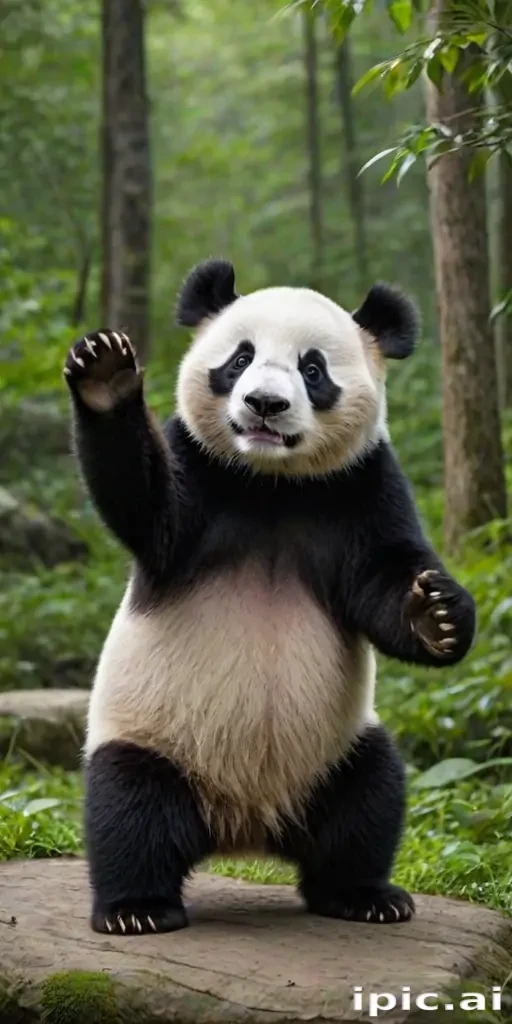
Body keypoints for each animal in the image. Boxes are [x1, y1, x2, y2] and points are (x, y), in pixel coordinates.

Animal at [64, 258, 475, 937]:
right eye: (240, 358)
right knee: (129, 808)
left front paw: (436, 612)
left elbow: (384, 578)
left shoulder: (361, 485)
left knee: (371, 797)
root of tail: (245, 826)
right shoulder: (198, 477)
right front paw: (104, 372)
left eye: (313, 370)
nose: (264, 404)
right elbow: (144, 504)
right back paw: (136, 909)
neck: (269, 483)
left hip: (336, 751)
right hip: (153, 734)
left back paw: (364, 895)